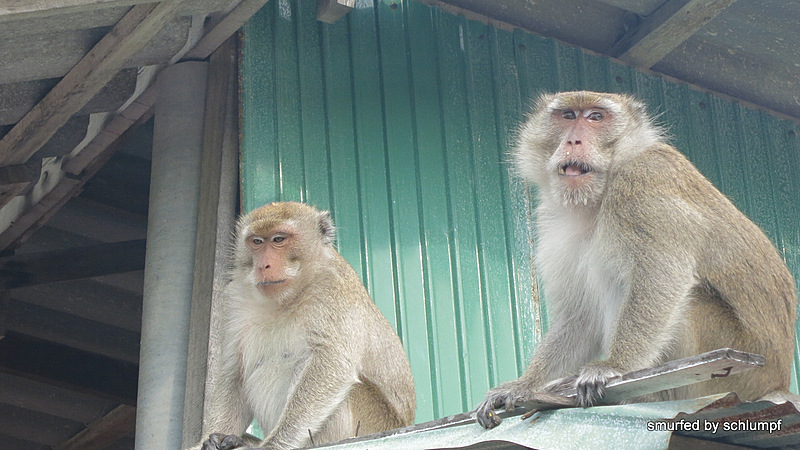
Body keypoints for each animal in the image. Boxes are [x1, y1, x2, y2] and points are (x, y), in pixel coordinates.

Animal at [194, 202, 416, 448]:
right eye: (257, 241)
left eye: (279, 239)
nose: (264, 265)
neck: (287, 298)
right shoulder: (235, 296)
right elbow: (234, 372)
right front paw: (209, 439)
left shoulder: (332, 288)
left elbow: (332, 362)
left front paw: (273, 445)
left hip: (371, 420)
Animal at [478, 91, 796, 428]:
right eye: (567, 115)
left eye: (596, 117)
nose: (574, 140)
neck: (597, 198)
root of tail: (777, 381)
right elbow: (579, 316)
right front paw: (523, 385)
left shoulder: (642, 183)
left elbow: (662, 275)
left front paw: (614, 365)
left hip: (735, 371)